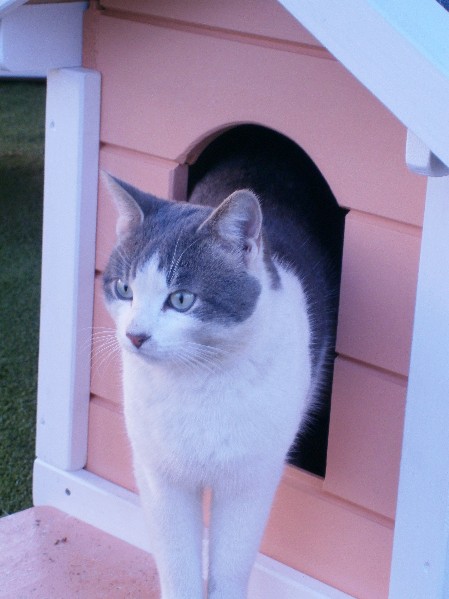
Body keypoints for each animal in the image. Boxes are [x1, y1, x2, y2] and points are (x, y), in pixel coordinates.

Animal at [101, 126, 344, 599]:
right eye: (124, 289)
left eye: (181, 299)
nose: (135, 335)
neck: (197, 381)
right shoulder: (161, 476)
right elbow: (178, 566)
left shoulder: (250, 479)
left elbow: (230, 565)